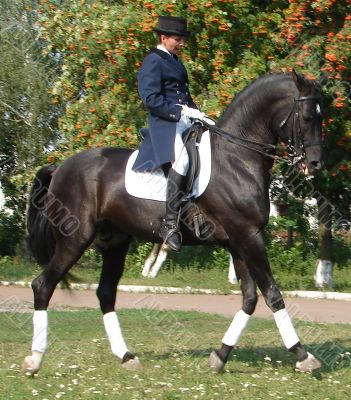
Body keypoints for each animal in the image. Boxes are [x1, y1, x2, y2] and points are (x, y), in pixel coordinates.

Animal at [23, 71, 326, 376]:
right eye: (307, 116)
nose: (315, 164)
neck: (236, 158)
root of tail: (61, 167)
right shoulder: (248, 236)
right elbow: (272, 294)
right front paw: (303, 355)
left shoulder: (238, 241)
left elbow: (250, 298)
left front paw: (220, 356)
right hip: (74, 240)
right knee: (42, 286)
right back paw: (35, 359)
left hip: (114, 242)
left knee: (105, 294)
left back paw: (126, 357)